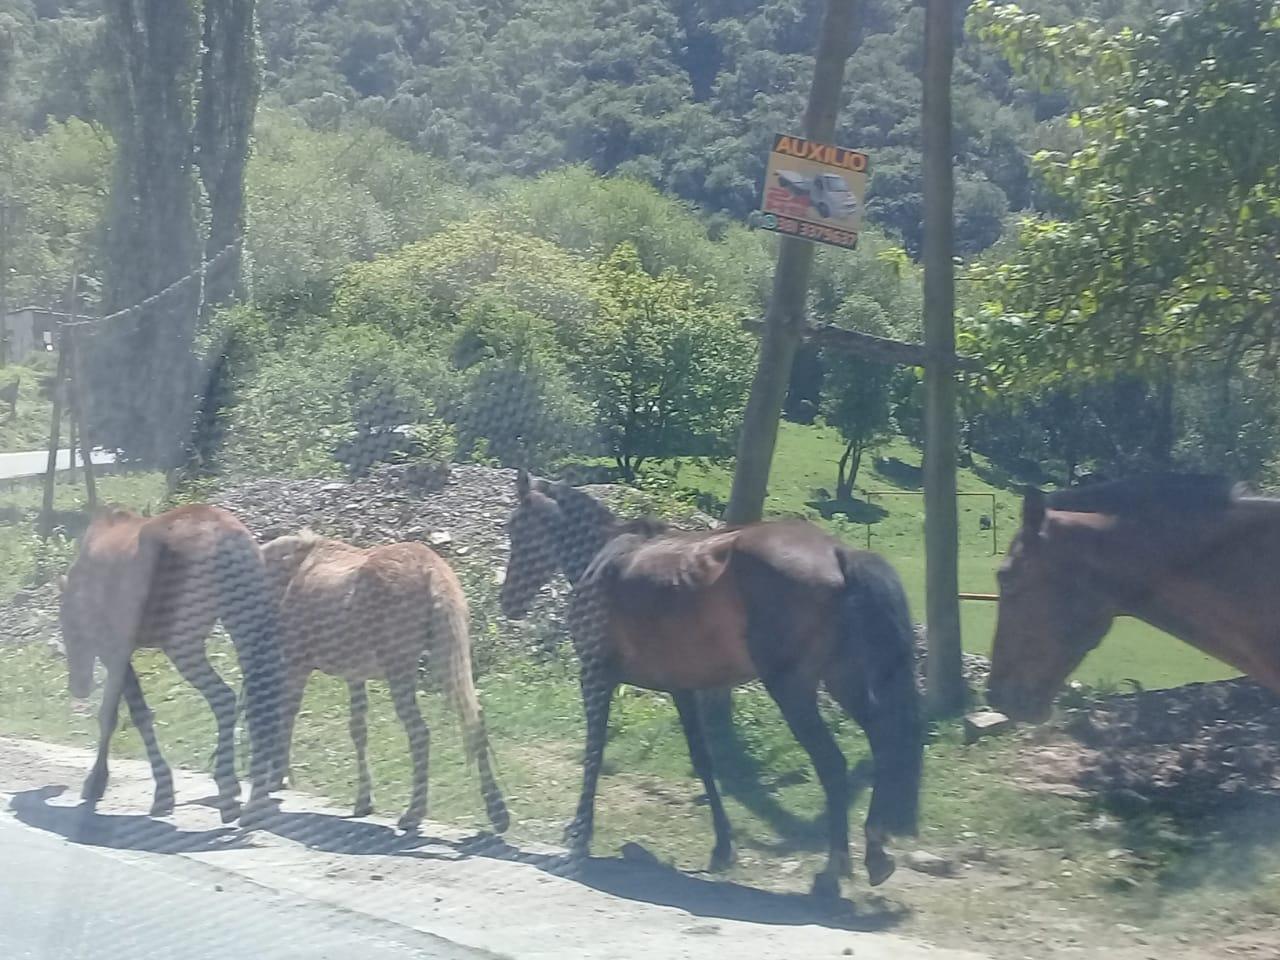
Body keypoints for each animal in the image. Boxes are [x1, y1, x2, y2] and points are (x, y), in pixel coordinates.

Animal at [58, 504, 282, 829]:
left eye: (66, 628)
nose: (78, 685)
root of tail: (228, 541)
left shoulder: (114, 649)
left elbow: (120, 715)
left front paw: (102, 782)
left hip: (183, 644)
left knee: (225, 699)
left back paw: (228, 791)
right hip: (246, 631)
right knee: (259, 710)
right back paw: (255, 802)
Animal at [261, 529, 509, 839]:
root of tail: (433, 573)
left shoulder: (297, 663)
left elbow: (287, 715)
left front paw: (279, 776)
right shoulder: (354, 676)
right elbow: (358, 729)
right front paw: (364, 800)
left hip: (400, 670)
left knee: (420, 732)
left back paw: (414, 814)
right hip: (453, 655)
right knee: (474, 718)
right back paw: (497, 812)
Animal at [496, 471, 921, 901]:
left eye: (515, 527)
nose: (508, 601)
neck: (603, 554)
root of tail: (838, 553)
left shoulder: (595, 675)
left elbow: (593, 754)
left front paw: (580, 832)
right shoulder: (683, 691)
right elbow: (703, 760)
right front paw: (722, 847)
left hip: (793, 690)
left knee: (833, 764)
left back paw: (834, 870)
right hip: (841, 680)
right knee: (883, 743)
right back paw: (875, 853)